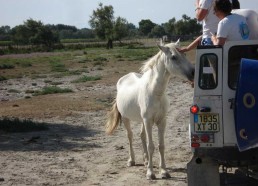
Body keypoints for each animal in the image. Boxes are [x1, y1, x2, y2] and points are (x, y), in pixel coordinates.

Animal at [106, 39, 195, 180]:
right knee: (130, 136)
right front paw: (150, 173)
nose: (193, 73)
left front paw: (163, 171)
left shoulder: (161, 121)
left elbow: (161, 146)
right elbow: (151, 146)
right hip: (126, 118)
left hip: (142, 120)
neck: (155, 92)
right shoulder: (148, 121)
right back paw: (131, 161)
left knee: (141, 135)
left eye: (185, 54)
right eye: (173, 57)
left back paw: (146, 161)